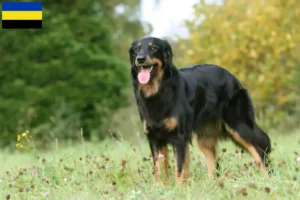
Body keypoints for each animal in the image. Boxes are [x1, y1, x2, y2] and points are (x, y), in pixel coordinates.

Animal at [128, 36, 272, 184]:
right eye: (136, 49)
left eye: (153, 48)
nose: (140, 59)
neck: (159, 91)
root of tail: (232, 77)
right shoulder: (154, 138)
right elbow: (159, 170)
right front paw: (161, 188)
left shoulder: (179, 137)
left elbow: (179, 169)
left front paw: (179, 188)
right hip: (204, 137)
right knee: (213, 162)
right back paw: (211, 184)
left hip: (238, 126)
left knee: (259, 148)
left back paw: (266, 177)